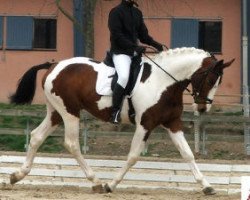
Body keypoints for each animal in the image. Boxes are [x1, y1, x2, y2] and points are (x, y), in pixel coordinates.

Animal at [8, 47, 233, 194]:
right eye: (210, 79)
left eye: (219, 81)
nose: (203, 108)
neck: (164, 82)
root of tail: (54, 64)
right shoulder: (145, 124)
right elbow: (133, 156)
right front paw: (111, 185)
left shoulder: (172, 123)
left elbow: (187, 154)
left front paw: (207, 186)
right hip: (70, 112)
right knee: (71, 144)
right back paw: (97, 182)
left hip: (56, 112)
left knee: (36, 136)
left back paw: (18, 175)